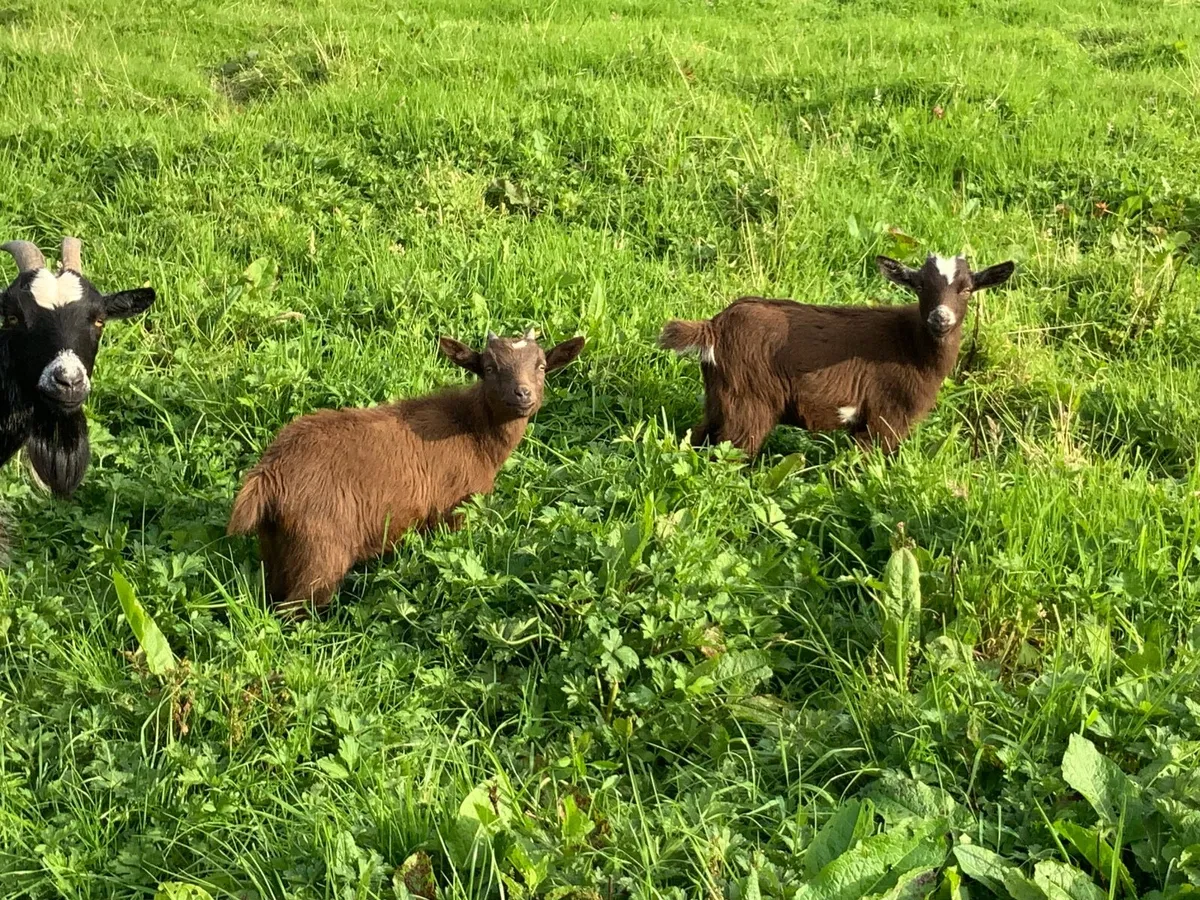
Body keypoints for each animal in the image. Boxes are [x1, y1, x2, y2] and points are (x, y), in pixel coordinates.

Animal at [227, 329, 586, 617]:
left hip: (275, 548)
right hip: (319, 548)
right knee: (296, 606)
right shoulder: (456, 509)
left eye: (541, 365)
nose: (522, 394)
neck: (471, 430)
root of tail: (269, 473)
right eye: (488, 367)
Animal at [659, 253, 1014, 456]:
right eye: (920, 286)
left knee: (698, 437)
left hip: (720, 399)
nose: (940, 318)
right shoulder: (886, 418)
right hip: (749, 404)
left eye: (967, 289)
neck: (911, 346)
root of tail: (714, 327)